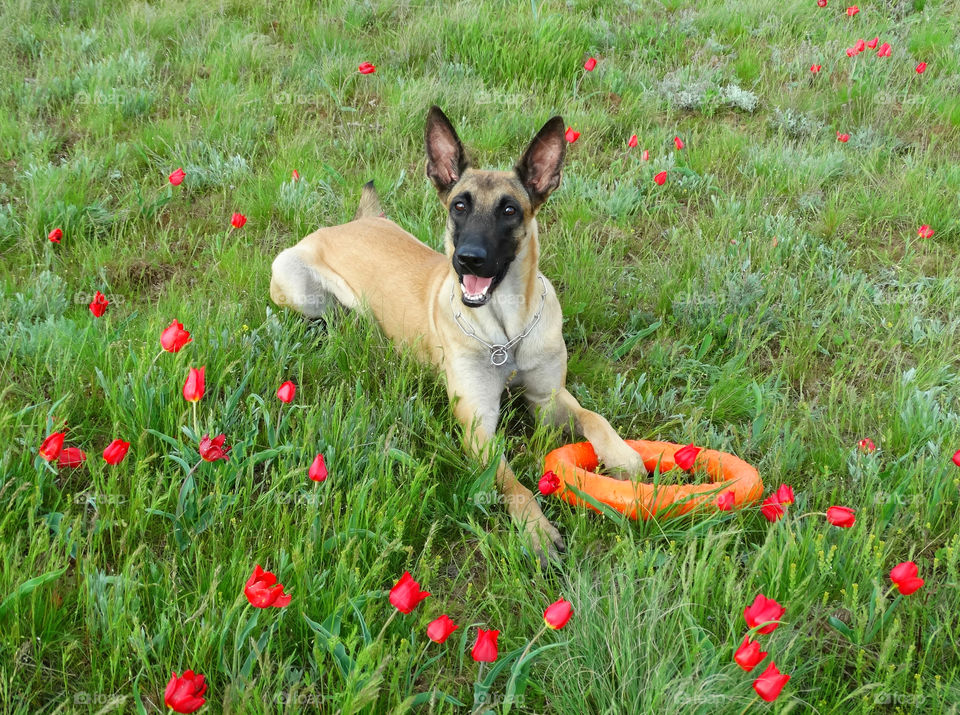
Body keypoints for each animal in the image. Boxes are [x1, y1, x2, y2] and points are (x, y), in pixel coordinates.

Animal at [268, 109, 644, 564]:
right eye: (459, 205)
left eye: (509, 210)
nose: (468, 260)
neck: (505, 334)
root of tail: (356, 222)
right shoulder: (477, 424)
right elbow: (510, 481)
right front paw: (536, 528)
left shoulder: (547, 398)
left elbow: (594, 417)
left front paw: (623, 455)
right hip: (297, 284)